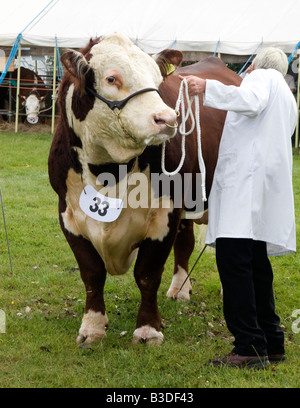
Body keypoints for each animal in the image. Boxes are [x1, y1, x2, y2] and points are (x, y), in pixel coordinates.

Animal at [48, 35, 241, 346]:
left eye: (157, 80)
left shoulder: (166, 212)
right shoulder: (68, 212)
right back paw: (180, 289)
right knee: (186, 244)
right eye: (111, 78)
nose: (168, 118)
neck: (108, 171)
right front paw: (92, 327)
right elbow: (91, 272)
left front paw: (148, 330)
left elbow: (147, 273)